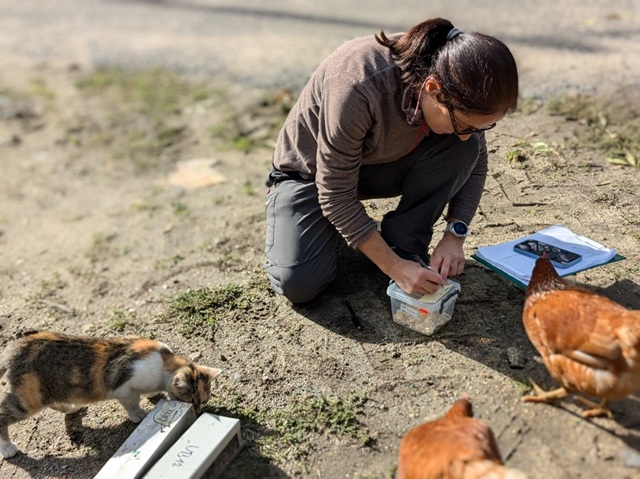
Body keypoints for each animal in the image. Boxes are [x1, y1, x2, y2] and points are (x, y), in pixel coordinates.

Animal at [0, 331, 222, 458]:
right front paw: (138, 415)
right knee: (3, 414)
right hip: (28, 399)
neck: (163, 363)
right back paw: (8, 448)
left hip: (52, 391)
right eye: (192, 400)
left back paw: (72, 408)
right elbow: (132, 402)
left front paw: (153, 393)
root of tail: (13, 349)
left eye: (203, 401)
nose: (198, 411)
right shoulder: (124, 388)